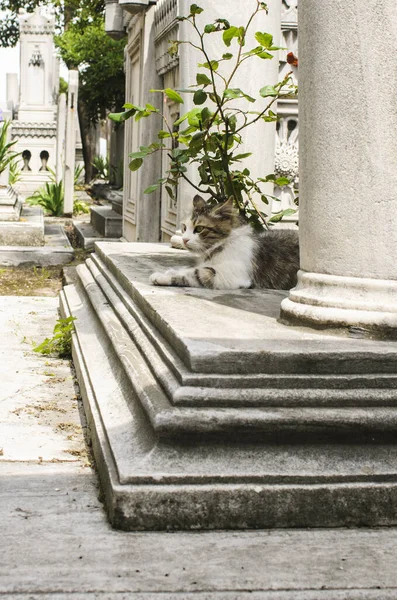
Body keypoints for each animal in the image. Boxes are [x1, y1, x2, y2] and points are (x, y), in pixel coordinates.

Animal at [150, 195, 298, 290]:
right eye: (184, 228)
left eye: (199, 229)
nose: (184, 239)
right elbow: (188, 269)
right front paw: (171, 271)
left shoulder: (229, 274)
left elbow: (194, 273)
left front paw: (161, 277)